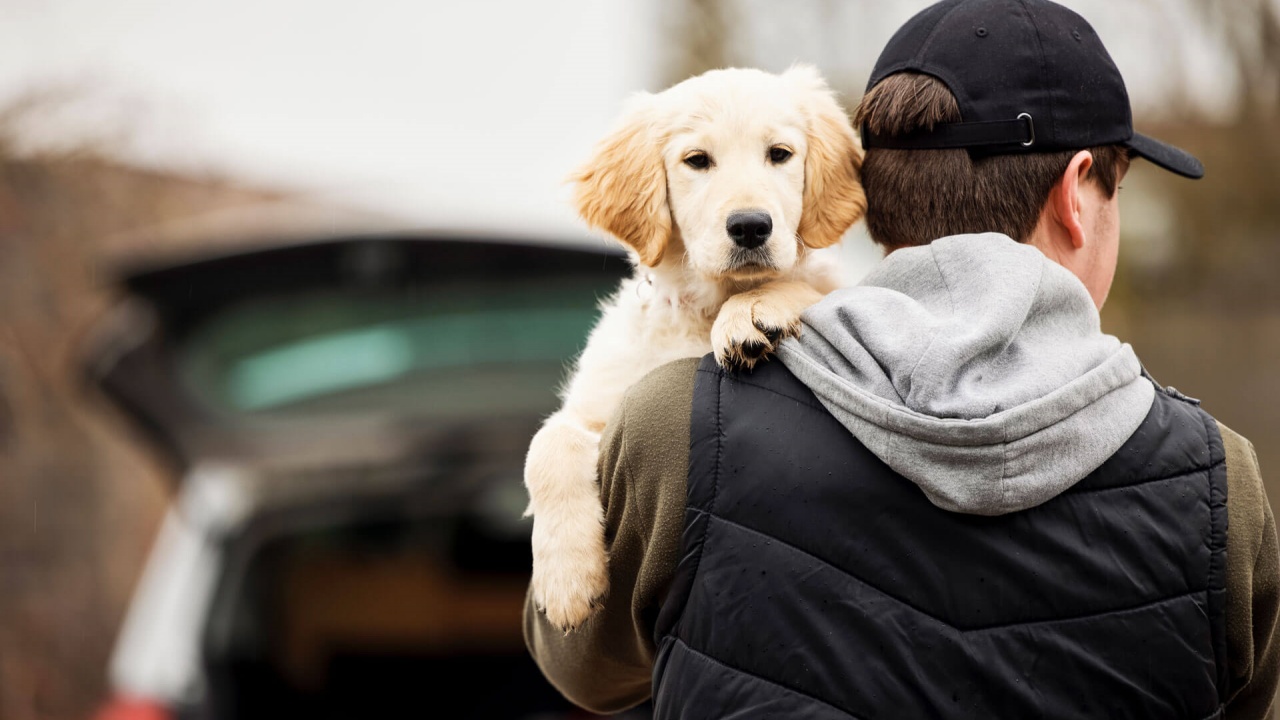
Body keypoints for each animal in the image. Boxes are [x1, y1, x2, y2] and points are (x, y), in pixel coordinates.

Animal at [522, 65, 870, 627]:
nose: (750, 226)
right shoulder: (598, 403)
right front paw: (567, 581)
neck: (705, 306)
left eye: (780, 154)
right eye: (697, 161)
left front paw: (753, 310)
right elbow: (546, 444)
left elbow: (809, 286)